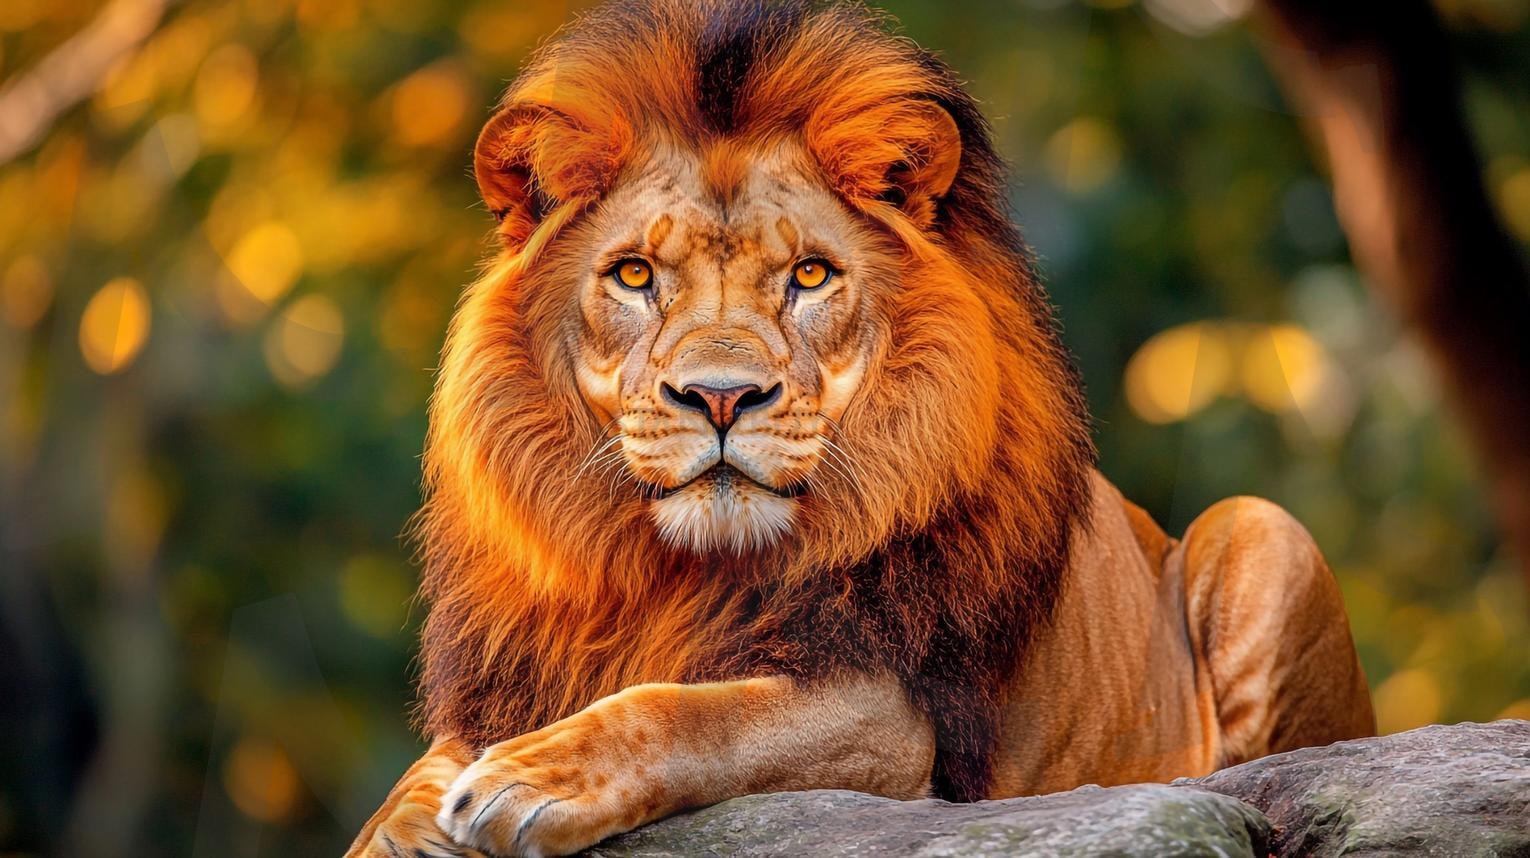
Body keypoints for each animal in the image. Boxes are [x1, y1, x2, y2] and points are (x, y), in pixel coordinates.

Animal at [347, 1, 1375, 855]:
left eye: (809, 275)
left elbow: (693, 715)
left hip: (1262, 532)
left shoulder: (893, 714)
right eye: (634, 275)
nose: (720, 397)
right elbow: (409, 787)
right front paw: (414, 821)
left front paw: (530, 777)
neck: (679, 573)